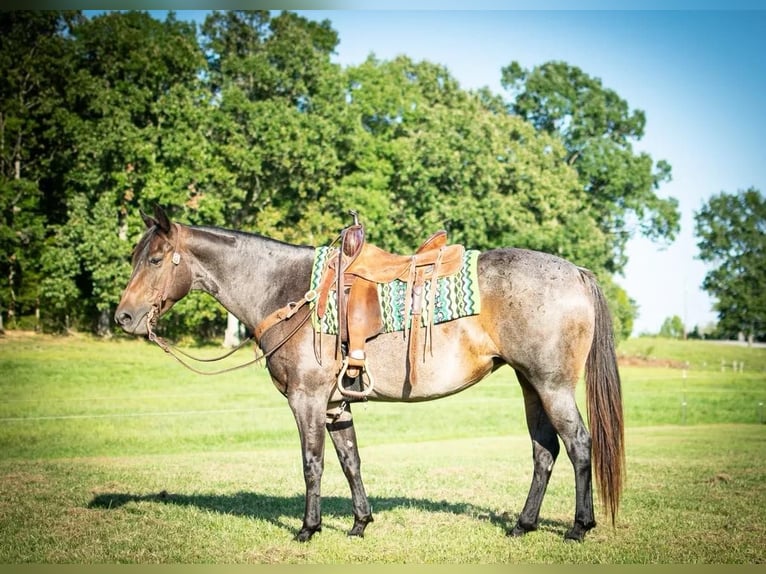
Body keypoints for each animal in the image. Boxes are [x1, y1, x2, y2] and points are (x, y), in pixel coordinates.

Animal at [117, 206, 628, 544]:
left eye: (156, 260)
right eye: (135, 258)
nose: (124, 317)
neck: (289, 292)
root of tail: (575, 271)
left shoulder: (306, 400)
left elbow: (312, 463)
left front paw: (308, 528)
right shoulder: (335, 404)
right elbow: (351, 461)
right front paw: (360, 523)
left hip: (552, 386)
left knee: (578, 445)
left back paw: (579, 527)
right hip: (530, 385)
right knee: (545, 452)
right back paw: (523, 525)